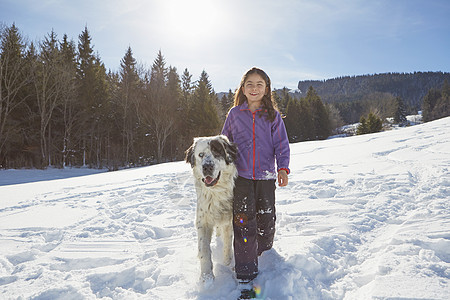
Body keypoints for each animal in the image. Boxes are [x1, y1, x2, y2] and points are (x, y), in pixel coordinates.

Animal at [185, 135, 237, 280]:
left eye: (217, 151)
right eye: (200, 155)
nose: (207, 167)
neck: (216, 192)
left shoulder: (229, 220)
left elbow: (228, 243)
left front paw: (227, 263)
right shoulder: (203, 221)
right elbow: (204, 249)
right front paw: (206, 277)